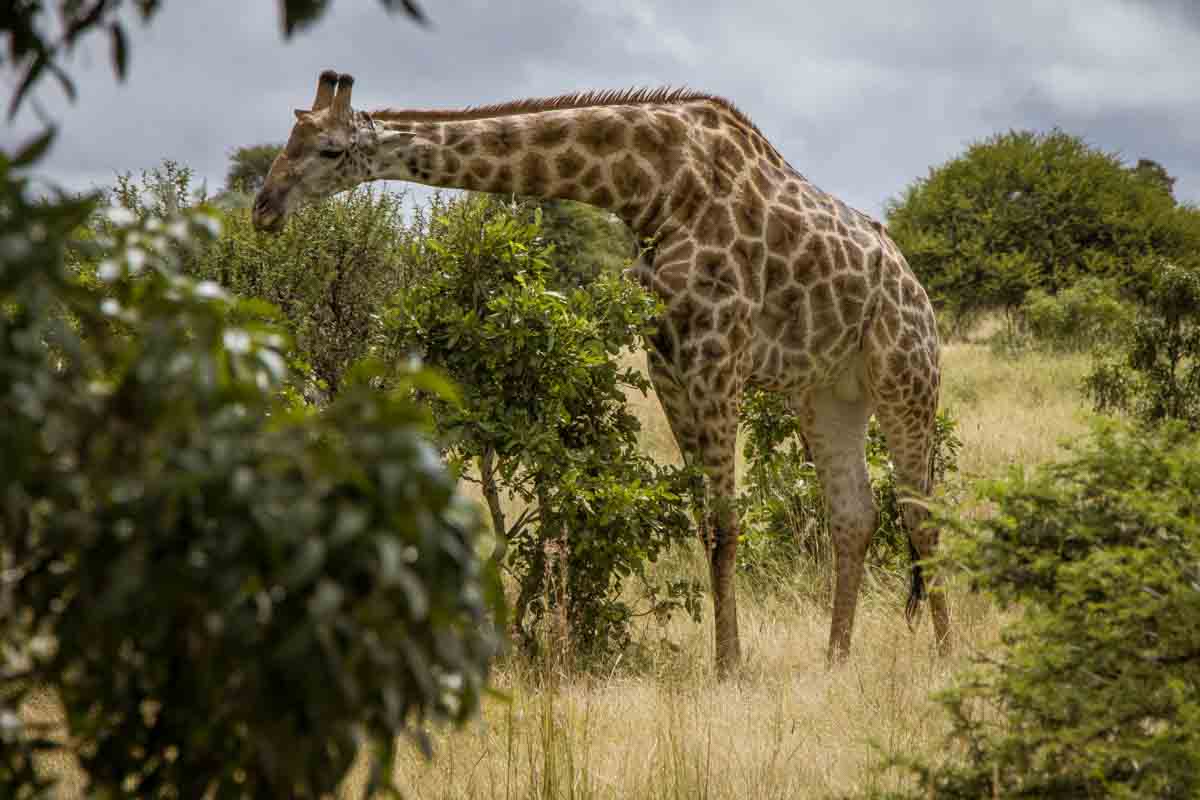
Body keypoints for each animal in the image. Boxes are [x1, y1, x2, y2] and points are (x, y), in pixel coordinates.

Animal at [250, 71, 945, 676]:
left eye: (330, 149)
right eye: (288, 139)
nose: (263, 207)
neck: (652, 189)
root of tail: (918, 290)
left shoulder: (718, 353)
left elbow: (725, 526)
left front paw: (729, 668)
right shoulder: (669, 364)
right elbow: (705, 524)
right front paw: (729, 660)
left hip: (906, 378)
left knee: (922, 512)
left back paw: (946, 649)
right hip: (830, 394)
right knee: (855, 514)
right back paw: (837, 660)